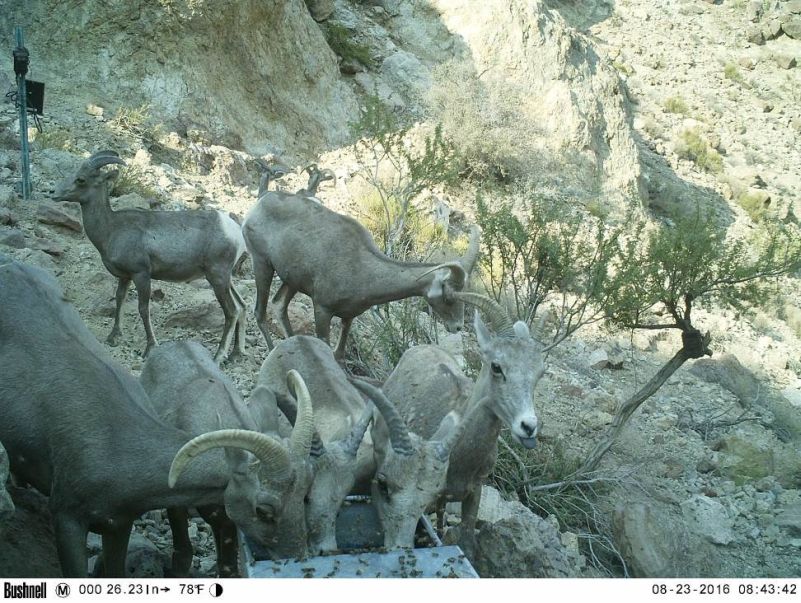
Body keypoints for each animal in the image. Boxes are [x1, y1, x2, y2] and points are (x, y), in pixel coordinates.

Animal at [0, 255, 310, 576]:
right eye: (264, 509)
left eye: (304, 494)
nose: (297, 556)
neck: (117, 449)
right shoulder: (67, 515)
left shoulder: (117, 522)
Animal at [53, 150, 247, 364]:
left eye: (81, 179)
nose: (53, 193)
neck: (111, 229)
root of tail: (235, 232)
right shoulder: (125, 277)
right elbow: (119, 300)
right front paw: (113, 337)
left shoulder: (141, 275)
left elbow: (143, 309)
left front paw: (150, 348)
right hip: (226, 280)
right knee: (242, 307)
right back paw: (236, 354)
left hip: (217, 278)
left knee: (232, 311)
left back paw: (218, 356)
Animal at [242, 186, 482, 356]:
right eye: (448, 297)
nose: (457, 327)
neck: (364, 270)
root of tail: (261, 202)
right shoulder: (322, 309)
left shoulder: (348, 318)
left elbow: (339, 354)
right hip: (262, 265)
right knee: (260, 312)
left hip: (291, 281)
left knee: (279, 306)